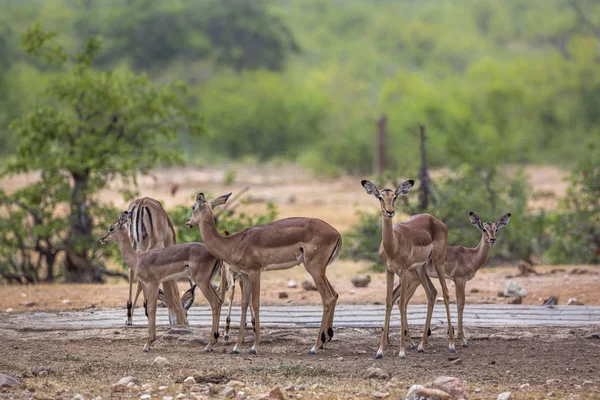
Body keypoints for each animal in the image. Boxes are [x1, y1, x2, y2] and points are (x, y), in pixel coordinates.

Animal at [101, 211, 227, 352]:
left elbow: (150, 308)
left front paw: (147, 344)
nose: (102, 238)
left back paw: (209, 344)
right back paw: (213, 341)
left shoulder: (152, 283)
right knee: (220, 301)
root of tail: (214, 254)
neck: (138, 259)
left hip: (202, 282)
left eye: (111, 228)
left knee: (214, 302)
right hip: (209, 282)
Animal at [127, 198, 190, 326]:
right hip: (152, 244)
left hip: (132, 241)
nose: (185, 322)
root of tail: (141, 202)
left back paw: (129, 316)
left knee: (130, 271)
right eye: (186, 313)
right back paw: (146, 310)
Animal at [183, 192, 342, 354]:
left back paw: (314, 347)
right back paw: (324, 341)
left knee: (328, 298)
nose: (188, 222)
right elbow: (244, 303)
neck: (232, 243)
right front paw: (236, 347)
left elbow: (255, 303)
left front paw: (254, 347)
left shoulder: (255, 272)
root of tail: (336, 232)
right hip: (319, 270)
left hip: (314, 269)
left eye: (193, 206)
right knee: (334, 295)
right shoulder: (245, 275)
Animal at [360, 180, 454, 358]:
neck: (394, 245)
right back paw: (422, 345)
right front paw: (380, 350)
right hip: (420, 269)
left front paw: (402, 351)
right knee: (432, 293)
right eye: (380, 197)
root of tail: (435, 220)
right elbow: (389, 301)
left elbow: (402, 302)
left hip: (438, 261)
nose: (390, 212)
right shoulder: (389, 271)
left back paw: (452, 344)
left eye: (395, 197)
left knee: (445, 294)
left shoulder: (403, 271)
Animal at [400, 212, 512, 346]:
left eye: (496, 229)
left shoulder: (462, 281)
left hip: (414, 281)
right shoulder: (459, 280)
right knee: (402, 301)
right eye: (484, 229)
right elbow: (460, 303)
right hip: (413, 280)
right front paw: (462, 339)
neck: (472, 256)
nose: (492, 239)